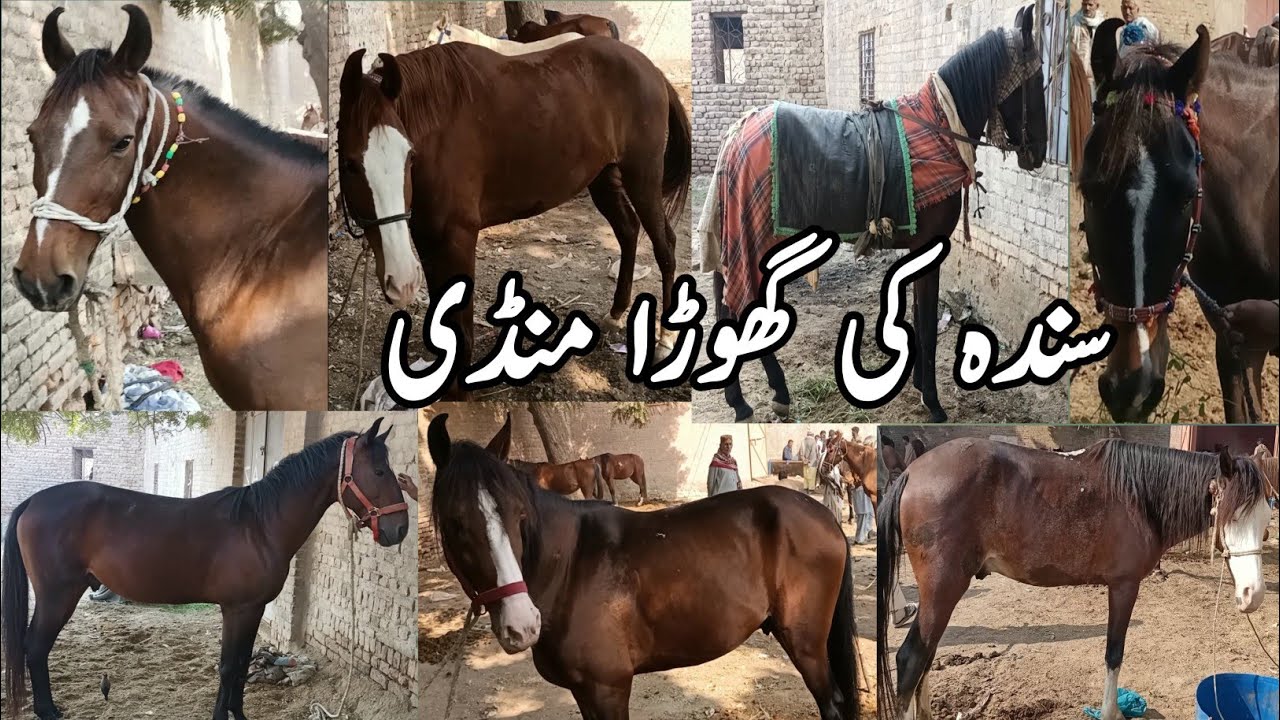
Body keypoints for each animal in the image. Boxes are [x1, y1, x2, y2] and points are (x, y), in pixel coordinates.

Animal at [2, 419, 411, 720]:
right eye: (379, 471)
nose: (399, 529)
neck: (259, 524)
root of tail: (32, 502)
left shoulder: (253, 610)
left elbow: (240, 666)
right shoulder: (238, 610)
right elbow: (229, 668)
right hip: (58, 595)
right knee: (35, 647)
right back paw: (48, 711)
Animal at [336, 38, 691, 396]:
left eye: (409, 157)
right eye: (349, 164)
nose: (402, 282)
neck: (438, 128)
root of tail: (650, 69)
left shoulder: (457, 238)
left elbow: (462, 330)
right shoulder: (427, 237)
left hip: (643, 177)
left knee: (665, 246)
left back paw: (665, 342)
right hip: (604, 177)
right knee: (628, 231)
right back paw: (617, 312)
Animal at [428, 413, 859, 719]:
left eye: (519, 515)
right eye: (455, 523)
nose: (522, 625)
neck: (570, 567)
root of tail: (823, 514)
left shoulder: (608, 688)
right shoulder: (585, 692)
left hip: (805, 642)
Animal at [701, 6, 1047, 422]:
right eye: (1036, 82)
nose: (1039, 152)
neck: (939, 128)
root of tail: (736, 133)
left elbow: (920, 316)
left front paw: (920, 388)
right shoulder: (931, 248)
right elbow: (926, 323)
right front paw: (933, 403)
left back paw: (752, 396)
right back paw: (763, 396)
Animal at [876, 438, 1273, 720]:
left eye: (1266, 519)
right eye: (1231, 515)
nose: (1253, 595)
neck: (1139, 497)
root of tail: (912, 472)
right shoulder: (1124, 586)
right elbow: (1114, 653)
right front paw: (1112, 714)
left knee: (926, 656)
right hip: (943, 588)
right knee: (911, 659)